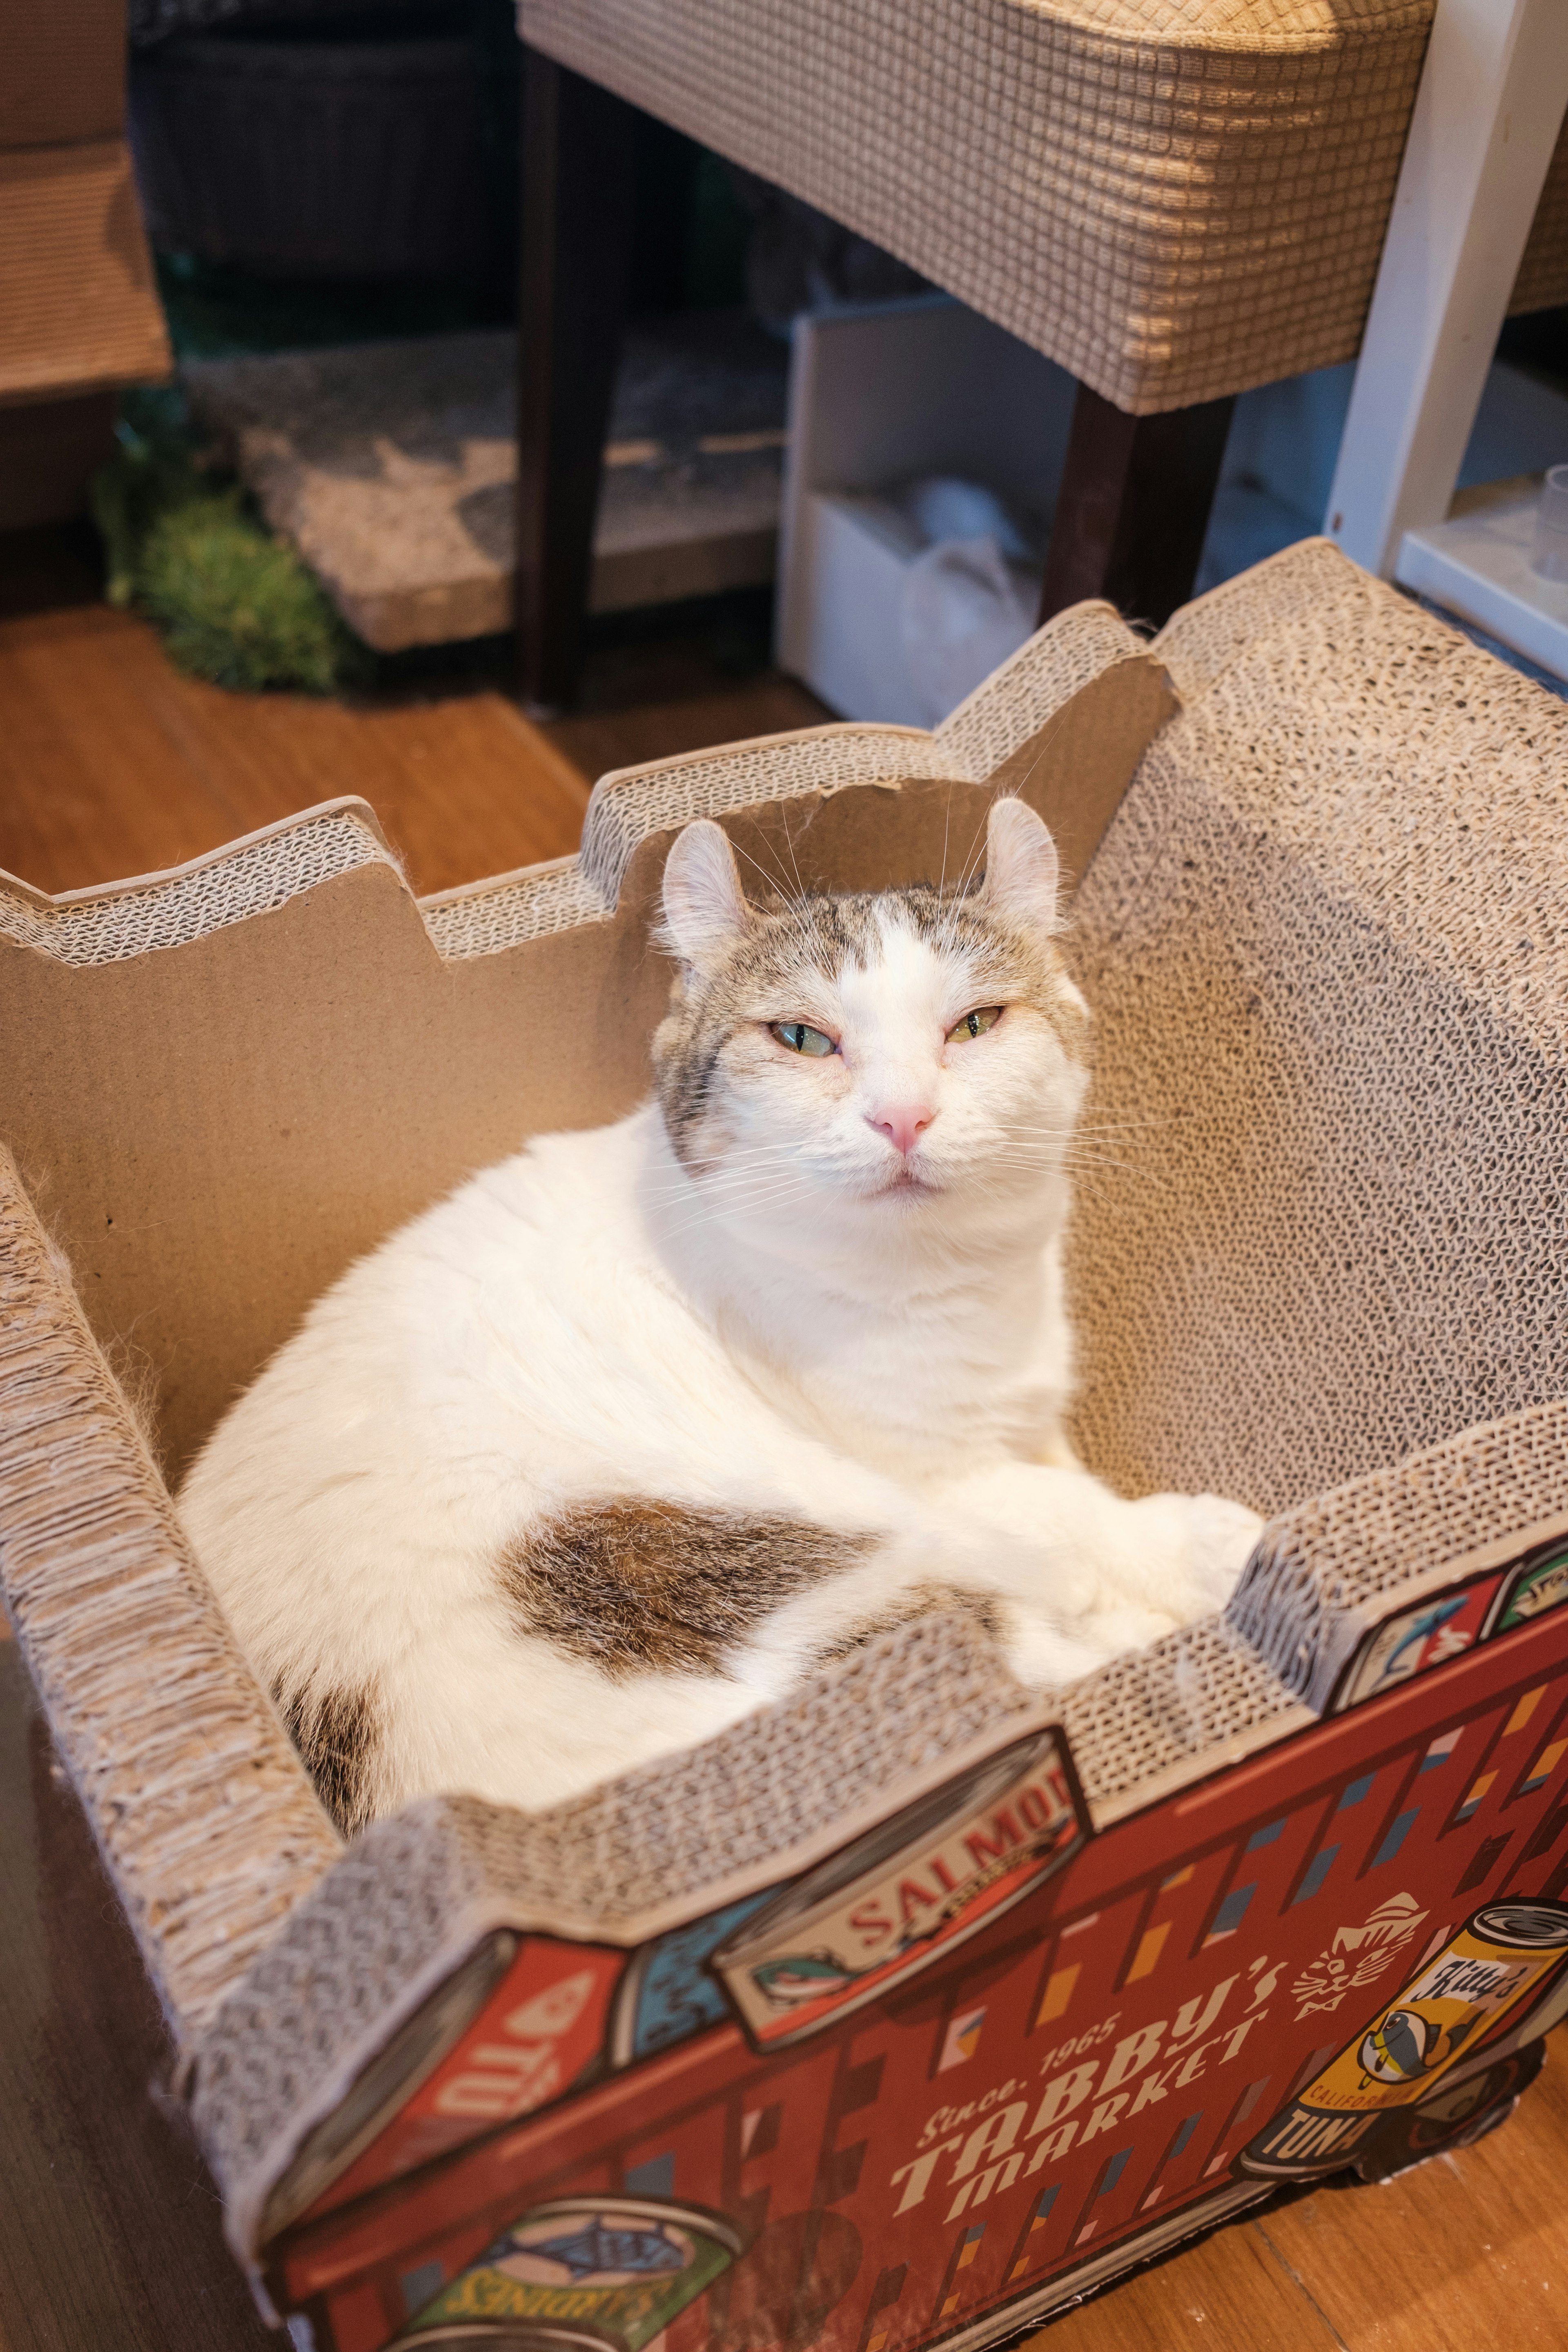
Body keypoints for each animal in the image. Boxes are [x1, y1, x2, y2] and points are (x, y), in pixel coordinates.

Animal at [181, 809, 1260, 1834]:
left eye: (976, 1023)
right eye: (801, 1038)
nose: (903, 1116)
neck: (950, 1280)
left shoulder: (1027, 1421)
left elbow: (1066, 1473)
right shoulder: (937, 1474)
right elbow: (1073, 1512)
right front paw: (1208, 1549)